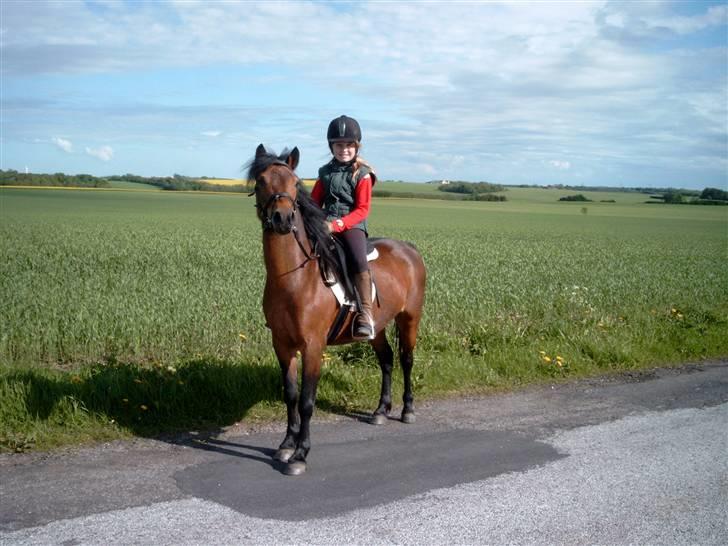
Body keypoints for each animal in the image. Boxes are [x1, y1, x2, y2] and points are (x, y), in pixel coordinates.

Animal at [247, 143, 426, 472]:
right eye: (262, 181)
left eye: (294, 183)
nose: (282, 219)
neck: (293, 276)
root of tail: (409, 248)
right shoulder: (282, 344)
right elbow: (290, 395)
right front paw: (286, 445)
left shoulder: (313, 345)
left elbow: (307, 400)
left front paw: (300, 454)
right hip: (377, 326)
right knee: (387, 360)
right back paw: (381, 411)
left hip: (410, 317)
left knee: (406, 360)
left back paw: (407, 410)